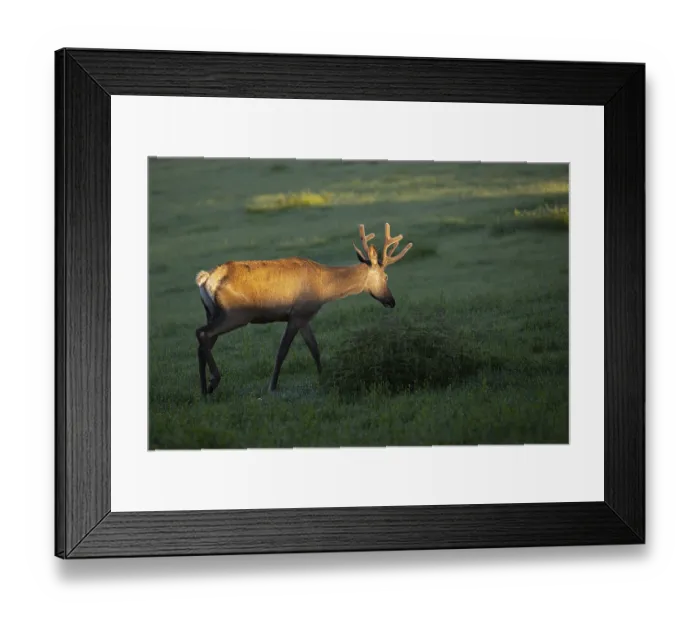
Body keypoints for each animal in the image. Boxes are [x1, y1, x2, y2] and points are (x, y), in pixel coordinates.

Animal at [194, 222, 413, 395]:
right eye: (386, 277)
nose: (391, 301)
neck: (323, 287)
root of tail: (206, 279)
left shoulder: (305, 316)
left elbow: (314, 348)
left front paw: (323, 377)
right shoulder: (298, 313)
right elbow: (282, 351)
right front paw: (272, 386)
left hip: (212, 312)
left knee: (202, 340)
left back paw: (204, 390)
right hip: (236, 313)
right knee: (202, 334)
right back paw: (214, 381)